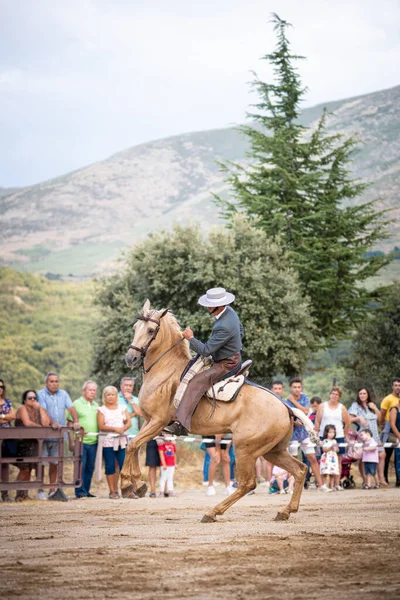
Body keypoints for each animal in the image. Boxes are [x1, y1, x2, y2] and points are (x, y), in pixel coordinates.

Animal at [123, 302, 308, 524]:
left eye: (151, 330)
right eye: (135, 327)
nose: (131, 358)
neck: (166, 374)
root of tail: (285, 407)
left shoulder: (158, 422)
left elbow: (132, 445)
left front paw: (127, 485)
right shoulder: (149, 421)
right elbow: (135, 446)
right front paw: (138, 483)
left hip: (245, 449)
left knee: (248, 483)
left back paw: (212, 512)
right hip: (273, 451)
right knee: (300, 469)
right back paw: (286, 510)